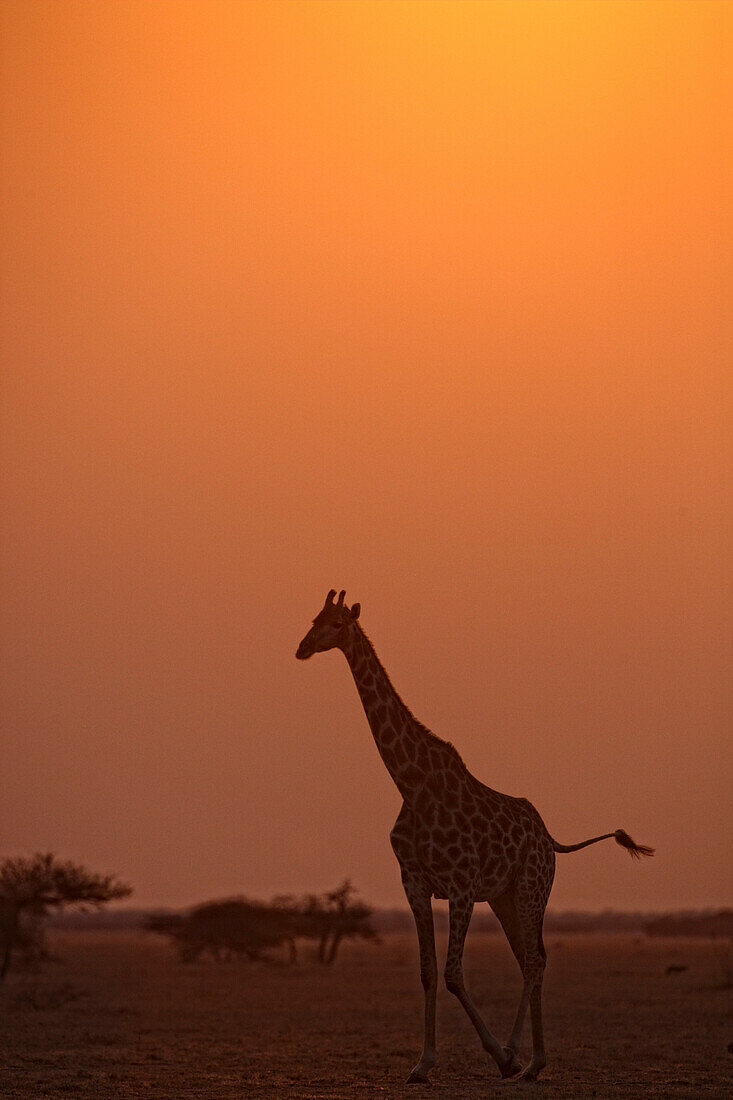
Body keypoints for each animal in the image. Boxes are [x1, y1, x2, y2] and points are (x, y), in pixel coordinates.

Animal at [294, 594, 651, 1082]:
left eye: (336, 624)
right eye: (314, 619)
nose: (302, 648)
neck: (412, 784)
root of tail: (549, 838)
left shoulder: (461, 886)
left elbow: (453, 973)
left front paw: (498, 1055)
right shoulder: (414, 883)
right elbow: (428, 971)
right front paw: (423, 1064)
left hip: (532, 887)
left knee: (535, 960)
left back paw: (528, 1060)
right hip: (503, 897)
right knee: (529, 959)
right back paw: (528, 1057)